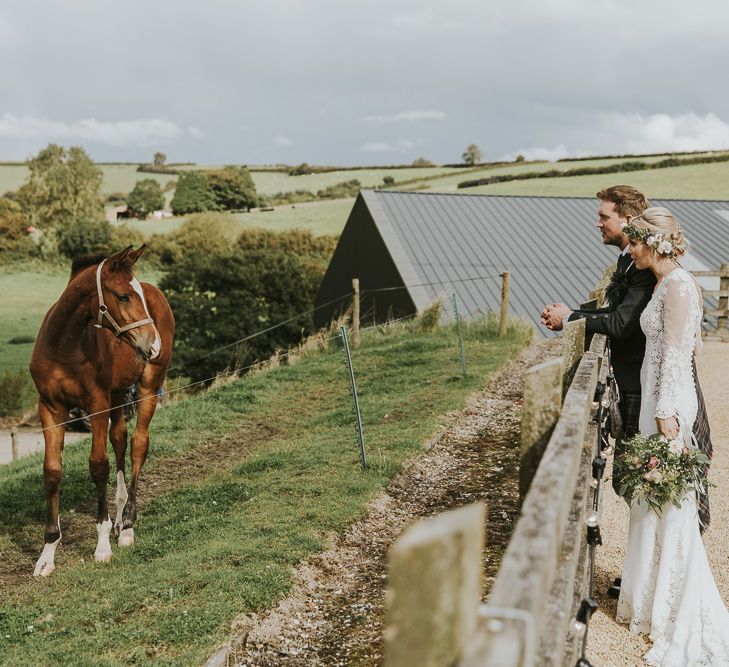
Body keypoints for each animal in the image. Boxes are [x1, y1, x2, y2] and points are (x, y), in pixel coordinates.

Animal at [30, 245, 176, 576]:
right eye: (123, 295)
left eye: (134, 295)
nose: (154, 344)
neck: (65, 346)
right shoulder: (51, 408)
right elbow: (52, 472)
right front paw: (47, 555)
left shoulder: (96, 405)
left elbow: (98, 466)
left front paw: (102, 546)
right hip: (118, 393)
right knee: (120, 438)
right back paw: (119, 518)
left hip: (148, 387)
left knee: (138, 444)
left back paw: (128, 526)